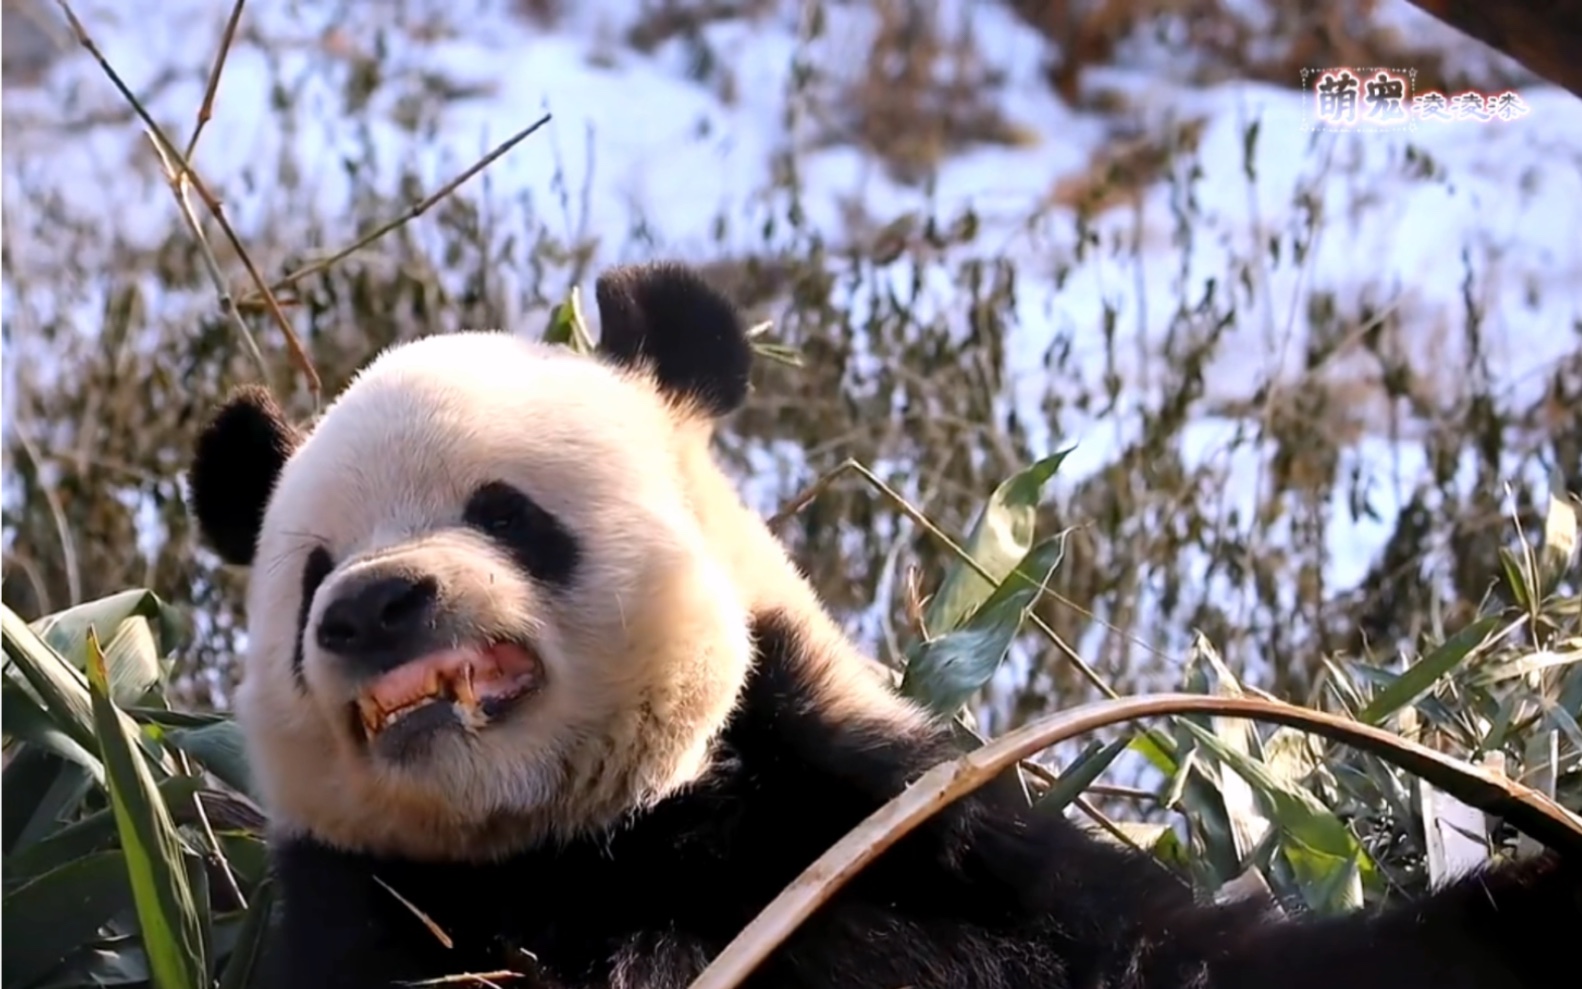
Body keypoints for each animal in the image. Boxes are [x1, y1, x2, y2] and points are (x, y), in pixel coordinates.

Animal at [191, 257, 1575, 981]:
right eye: (312, 573)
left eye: (504, 508)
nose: (373, 605)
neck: (596, 832)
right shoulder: (368, 912)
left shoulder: (886, 820)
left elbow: (1185, 946)